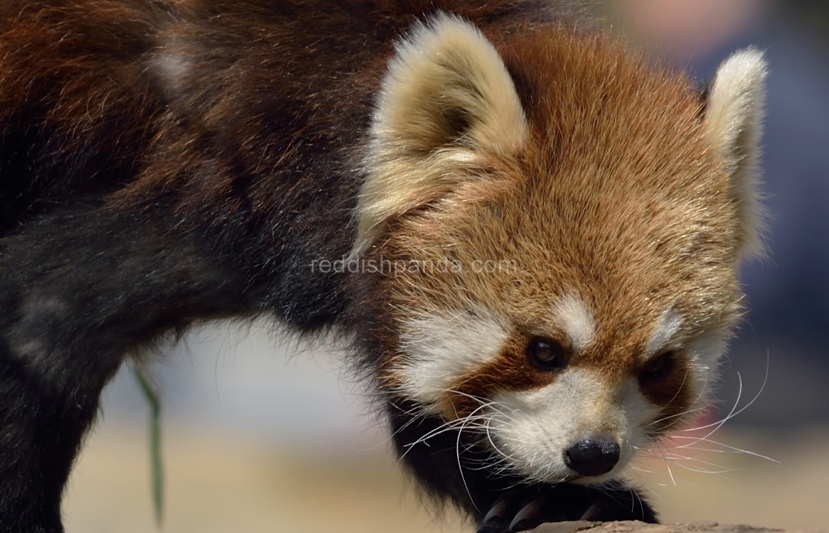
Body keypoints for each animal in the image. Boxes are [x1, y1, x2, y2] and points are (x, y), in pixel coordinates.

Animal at [0, 1, 764, 532]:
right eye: (543, 350)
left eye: (659, 365)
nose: (592, 453)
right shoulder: (201, 190)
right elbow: (37, 330)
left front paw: (543, 499)